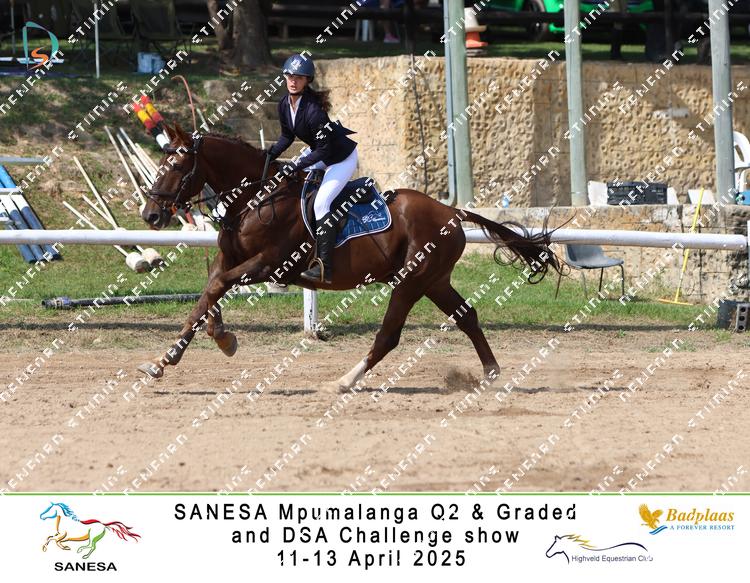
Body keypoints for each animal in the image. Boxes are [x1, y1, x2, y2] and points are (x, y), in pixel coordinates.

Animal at [137, 123, 560, 392]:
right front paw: (164, 361)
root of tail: (452, 212)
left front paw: (223, 339)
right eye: (160, 163)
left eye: (178, 165)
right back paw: (490, 374)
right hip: (434, 281)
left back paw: (343, 381)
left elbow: (216, 289)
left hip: (411, 281)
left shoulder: (269, 264)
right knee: (466, 316)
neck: (258, 197)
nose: (151, 215)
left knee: (389, 336)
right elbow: (205, 298)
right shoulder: (229, 260)